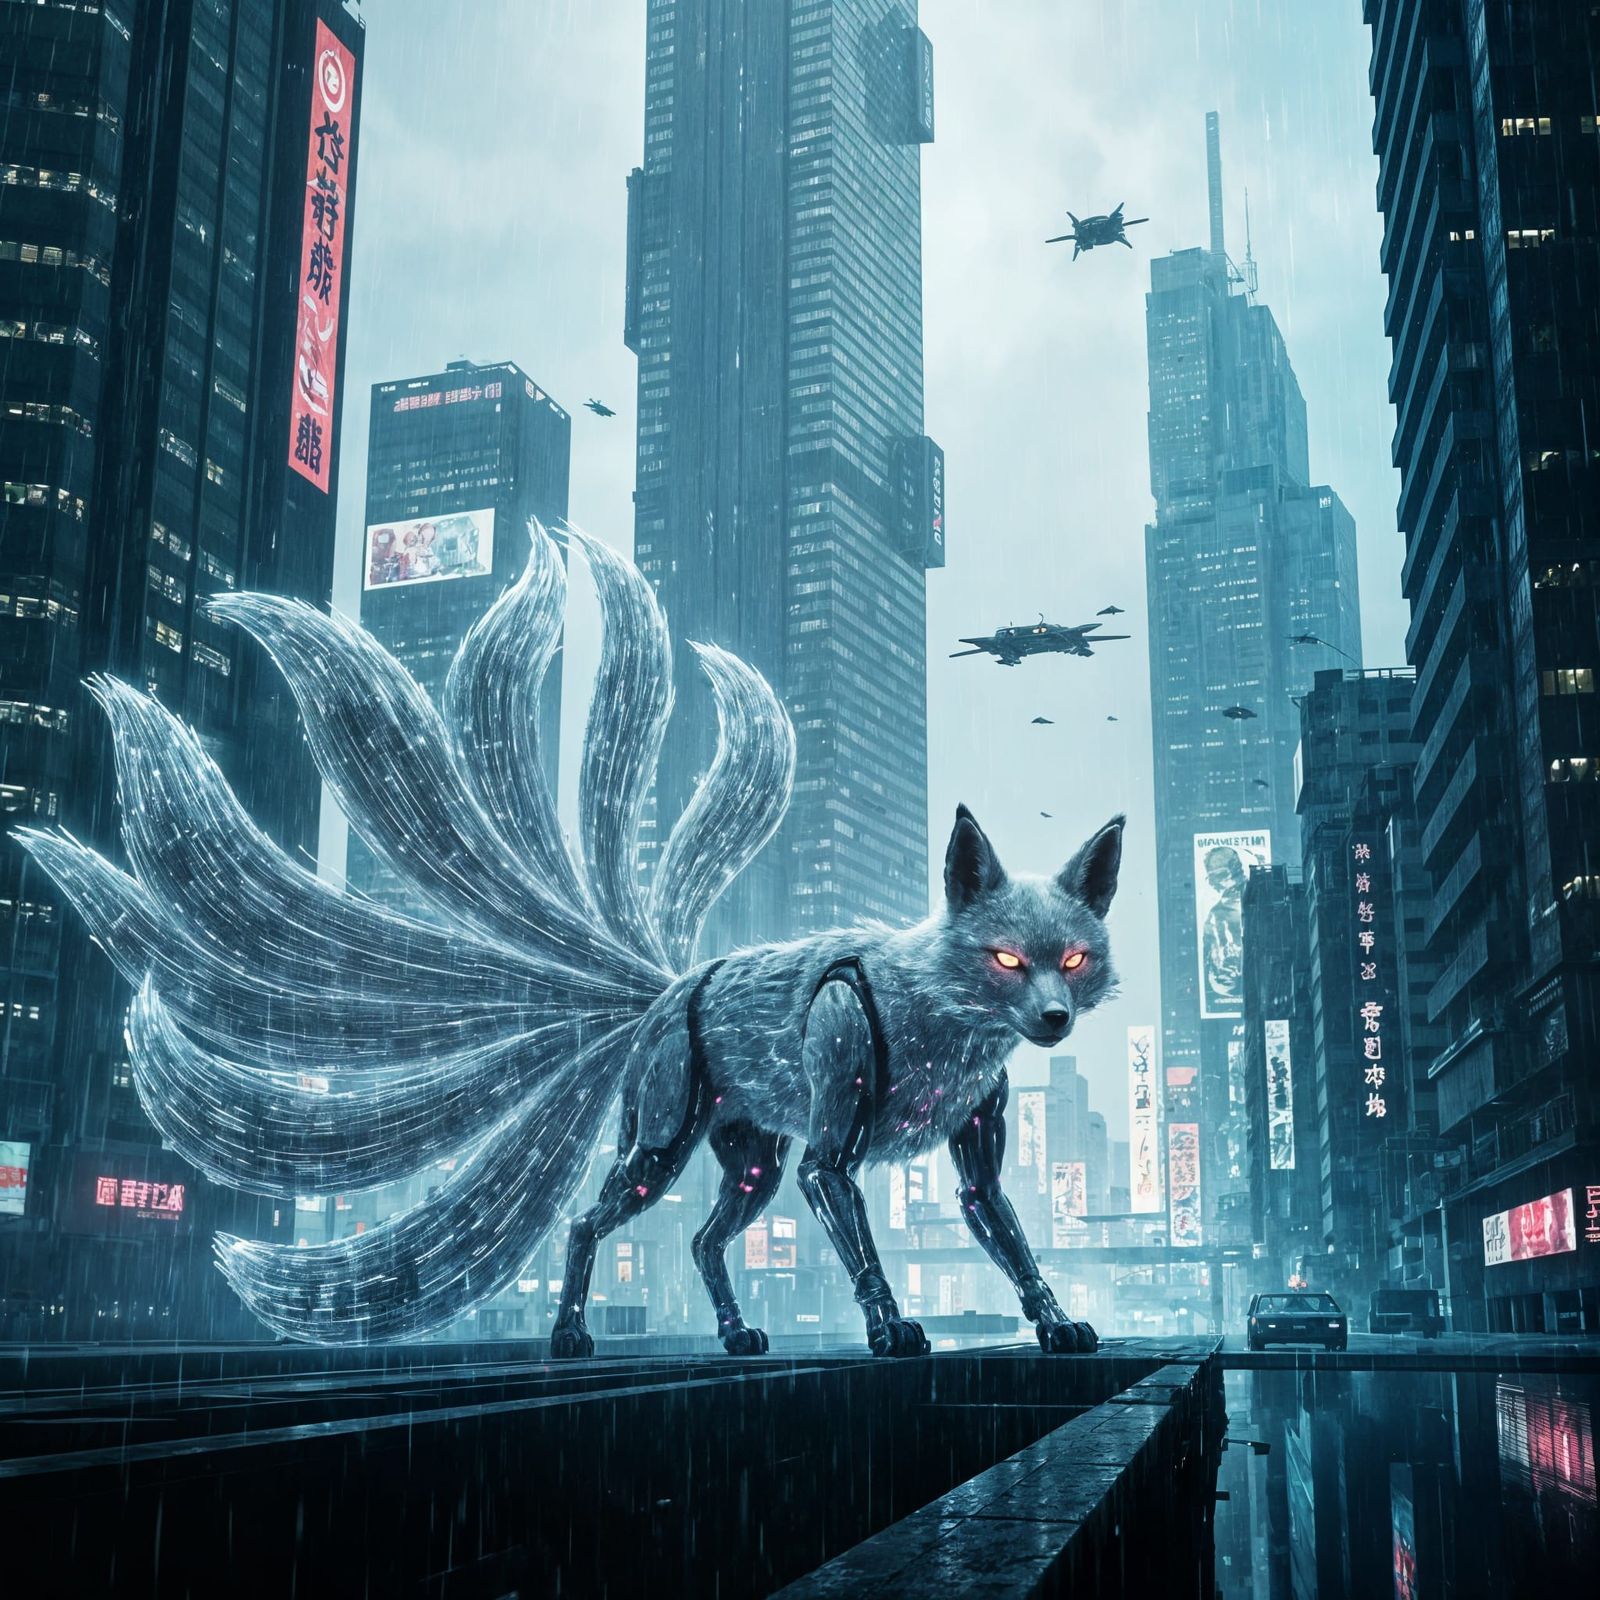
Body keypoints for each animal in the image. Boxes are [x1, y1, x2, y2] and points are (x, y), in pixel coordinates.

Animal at [18, 522, 1121, 1358]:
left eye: (1070, 957)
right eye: (1006, 958)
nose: (1053, 1021)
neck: (946, 1022)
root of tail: (666, 989)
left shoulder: (970, 1168)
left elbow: (1015, 1245)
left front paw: (1058, 1325)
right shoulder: (828, 1162)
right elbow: (867, 1257)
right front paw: (892, 1330)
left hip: (745, 1160)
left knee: (704, 1243)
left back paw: (731, 1335)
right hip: (666, 1143)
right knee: (595, 1222)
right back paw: (567, 1335)